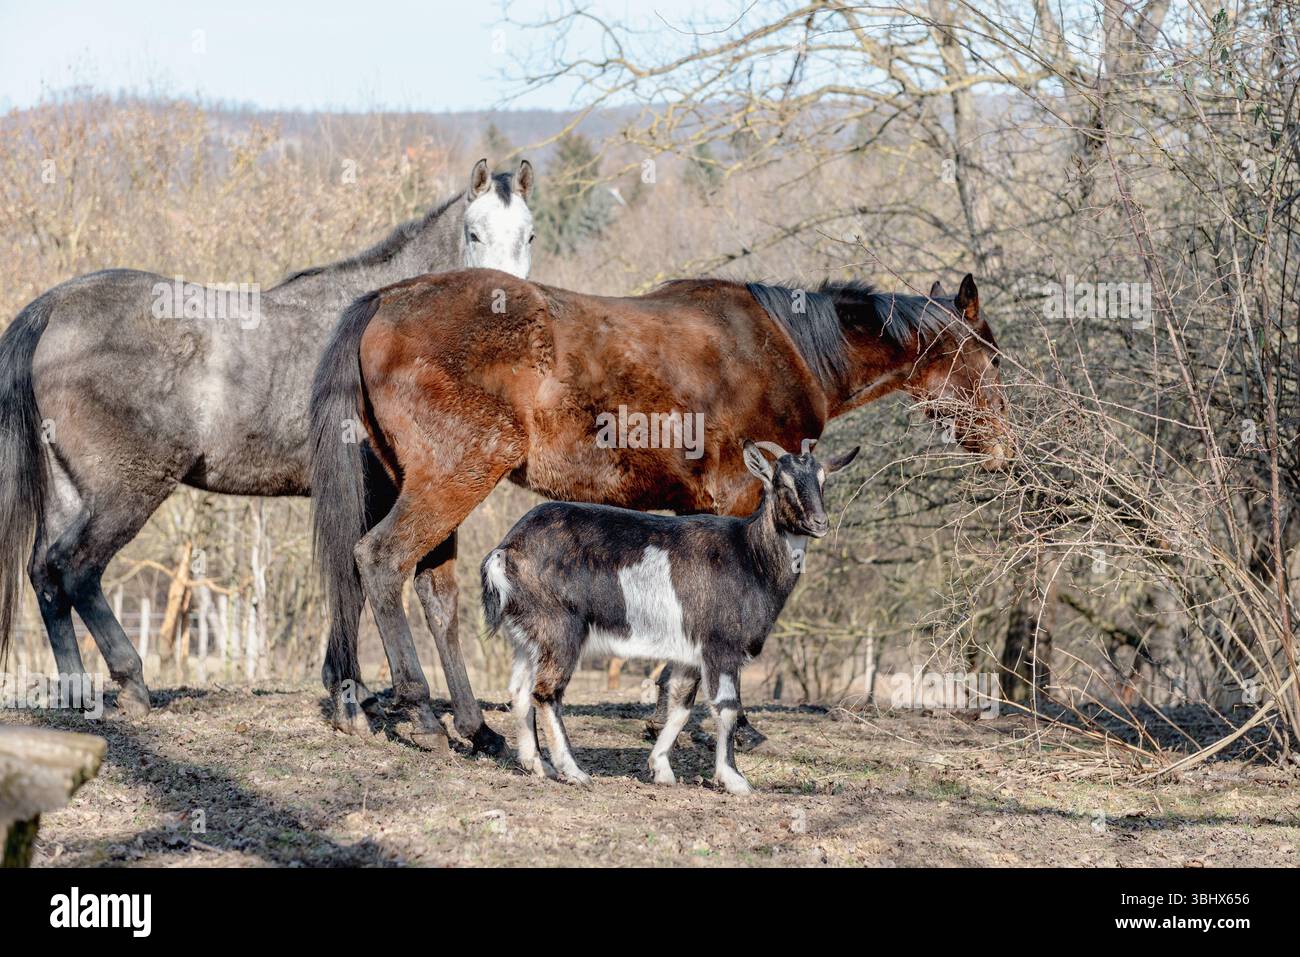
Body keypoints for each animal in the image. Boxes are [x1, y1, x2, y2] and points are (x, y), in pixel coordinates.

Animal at [0, 159, 534, 753]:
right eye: (474, 233)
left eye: (530, 235)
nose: (506, 308)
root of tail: (56, 306)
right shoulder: (372, 490)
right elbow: (358, 581)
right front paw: (354, 701)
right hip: (127, 490)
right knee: (77, 568)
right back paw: (131, 682)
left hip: (72, 492)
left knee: (46, 571)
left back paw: (77, 692)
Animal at [309, 268, 1011, 754]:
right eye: (991, 356)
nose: (1007, 449)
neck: (783, 349)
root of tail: (389, 298)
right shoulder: (742, 500)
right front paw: (732, 723)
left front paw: (663, 715)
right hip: (454, 478)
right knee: (381, 560)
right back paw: (423, 714)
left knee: (437, 594)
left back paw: (474, 727)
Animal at [480, 439, 858, 795]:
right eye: (782, 482)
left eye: (822, 479)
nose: (819, 523)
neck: (751, 557)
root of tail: (505, 551)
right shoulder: (720, 647)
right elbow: (726, 707)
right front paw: (734, 779)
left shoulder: (688, 654)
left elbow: (680, 707)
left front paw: (660, 768)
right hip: (560, 628)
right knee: (546, 692)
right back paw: (573, 771)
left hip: (527, 635)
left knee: (520, 690)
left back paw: (536, 764)